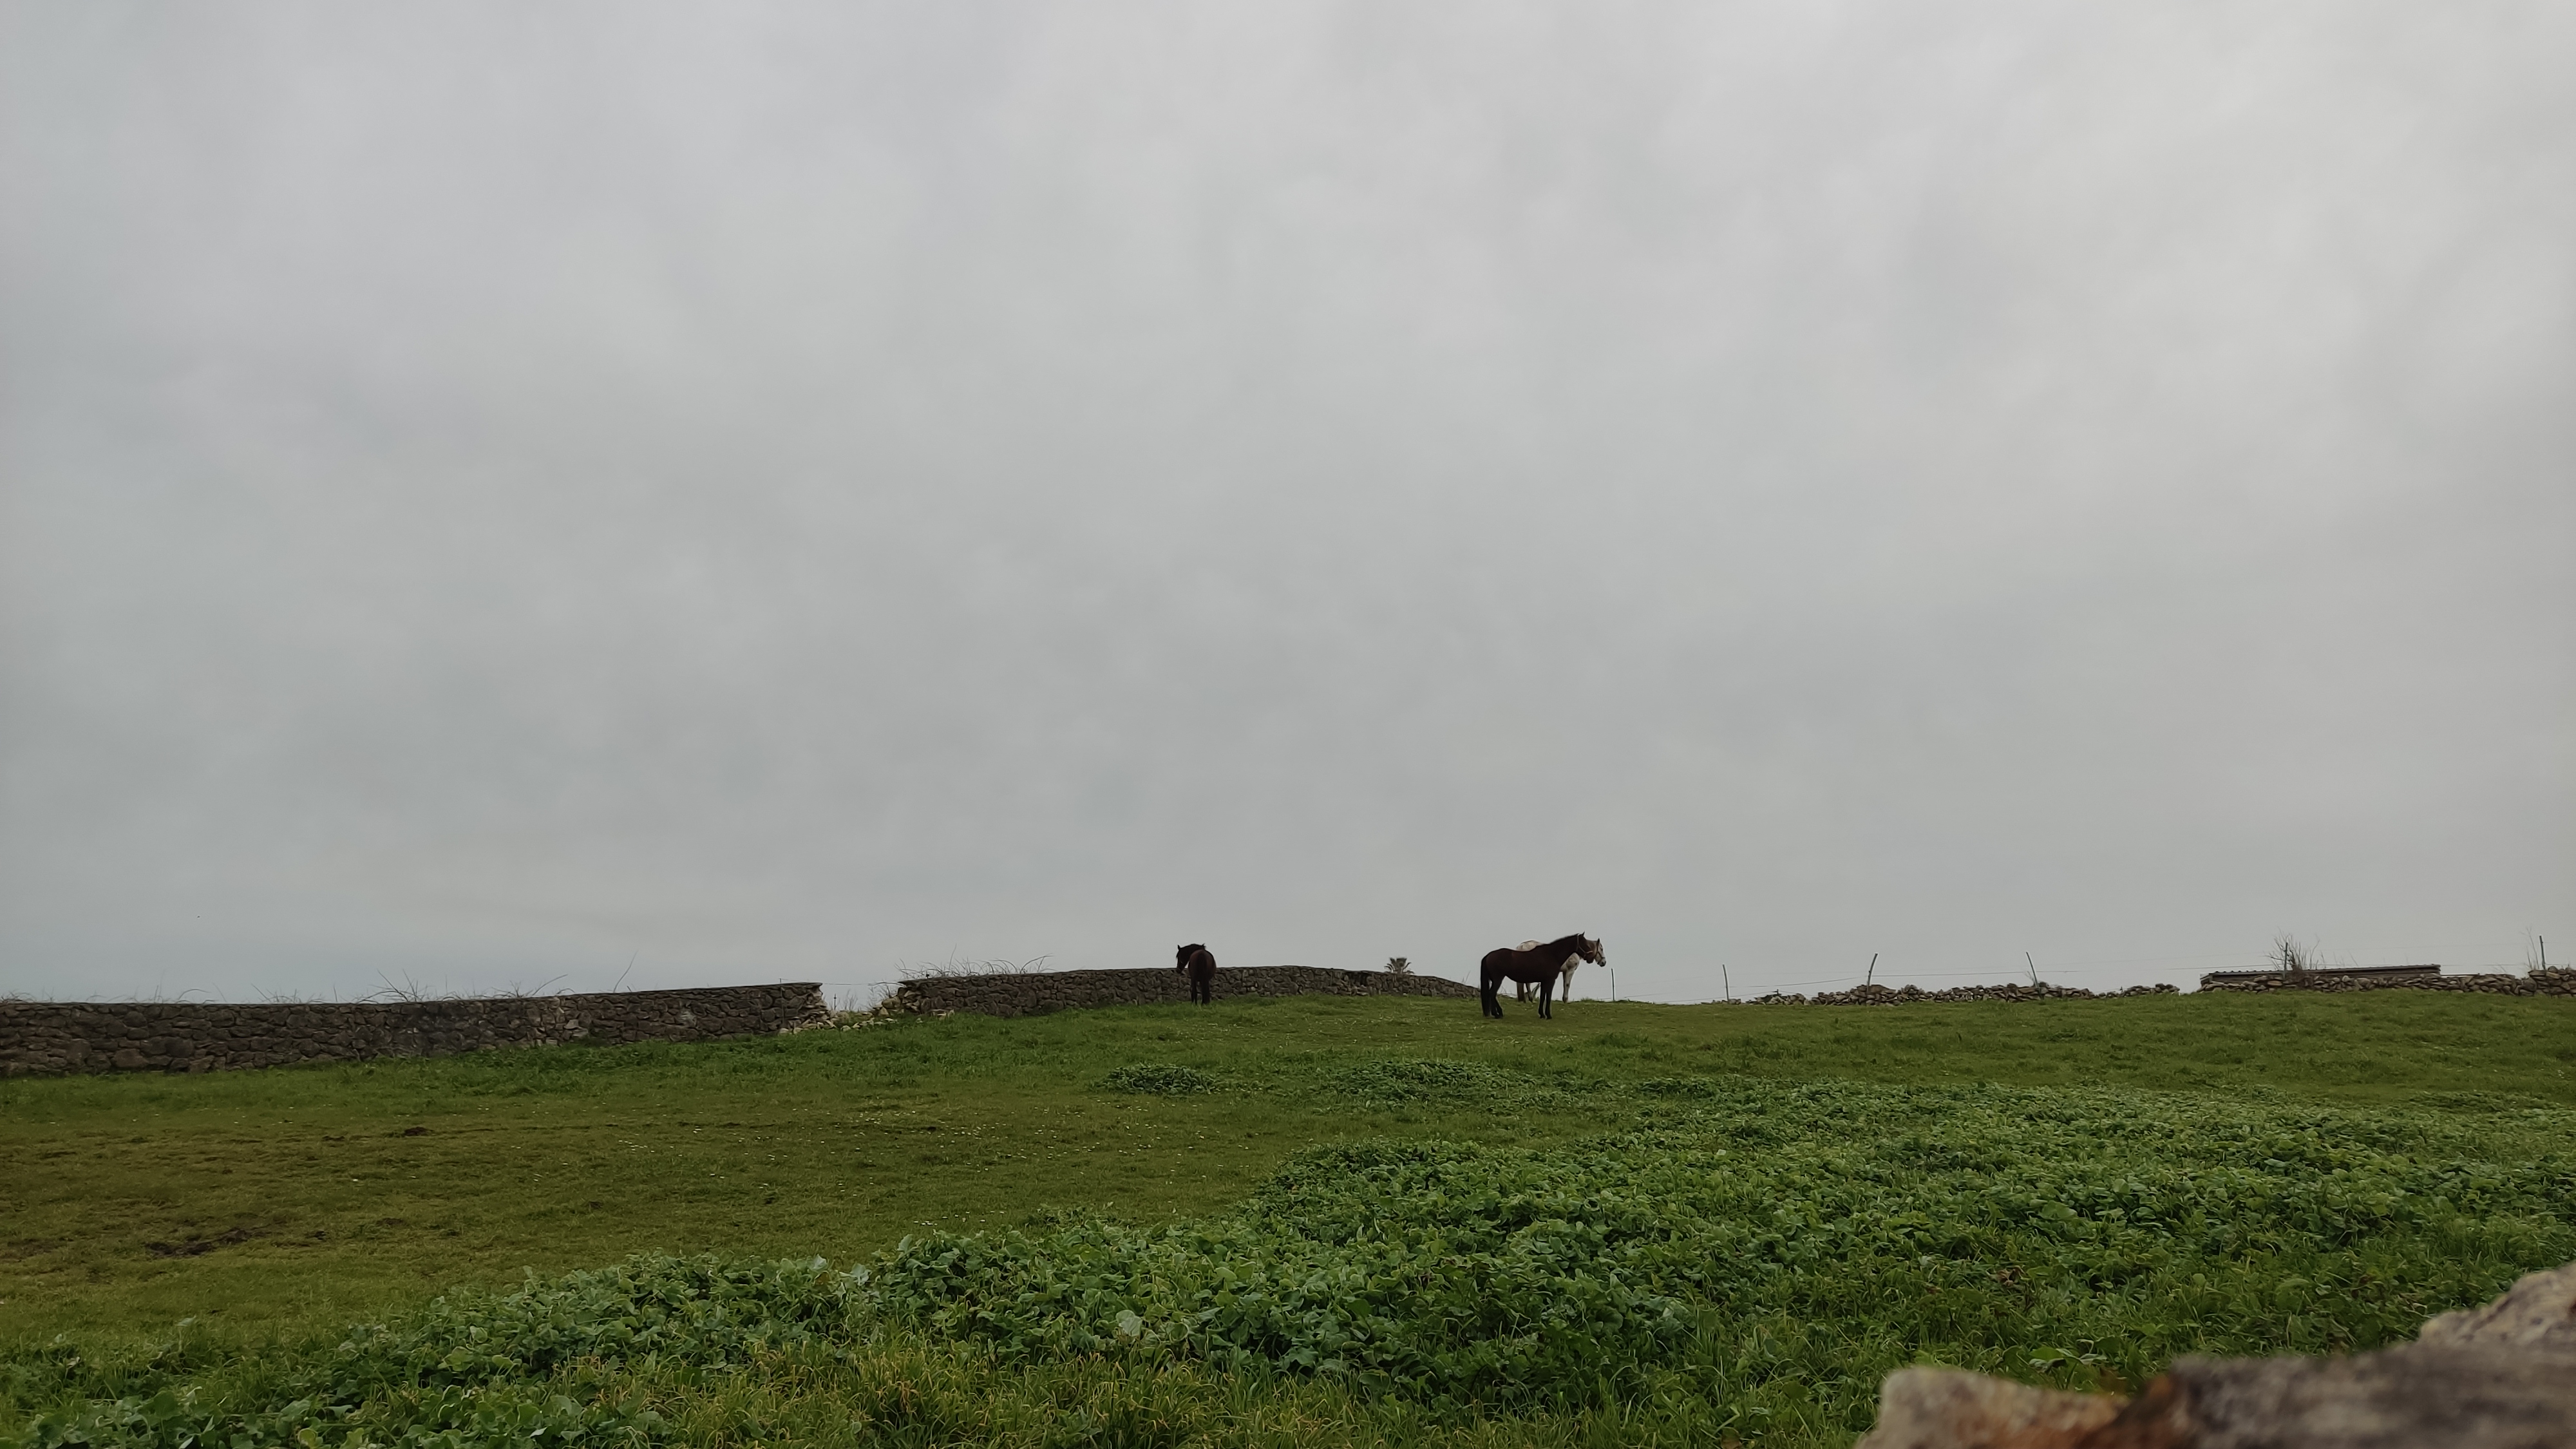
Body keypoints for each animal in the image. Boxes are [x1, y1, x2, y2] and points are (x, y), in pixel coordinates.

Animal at [1484, 923, 1597, 1016]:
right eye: (1585, 944)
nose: (1591, 958)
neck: (1552, 955)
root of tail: (1489, 956)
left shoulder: (1545, 980)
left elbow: (1543, 996)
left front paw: (1542, 1014)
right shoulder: (1554, 979)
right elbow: (1551, 995)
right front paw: (1549, 1014)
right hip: (1499, 979)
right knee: (1493, 993)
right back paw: (1499, 1013)